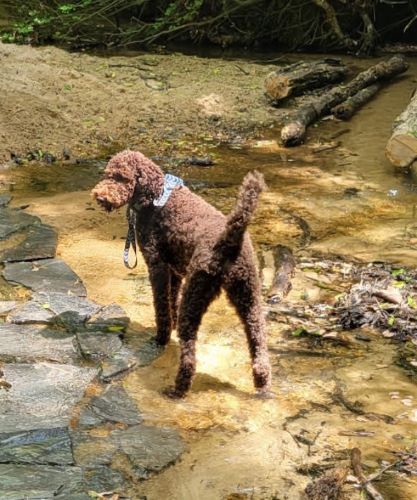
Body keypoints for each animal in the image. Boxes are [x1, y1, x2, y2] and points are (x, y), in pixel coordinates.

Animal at [92, 150, 271, 398]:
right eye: (108, 174)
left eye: (122, 177)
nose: (99, 196)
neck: (156, 196)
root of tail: (229, 241)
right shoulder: (174, 271)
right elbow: (171, 302)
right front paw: (171, 325)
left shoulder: (157, 266)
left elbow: (161, 309)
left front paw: (161, 337)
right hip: (249, 298)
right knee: (259, 346)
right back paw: (262, 386)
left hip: (195, 293)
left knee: (189, 356)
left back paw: (177, 389)